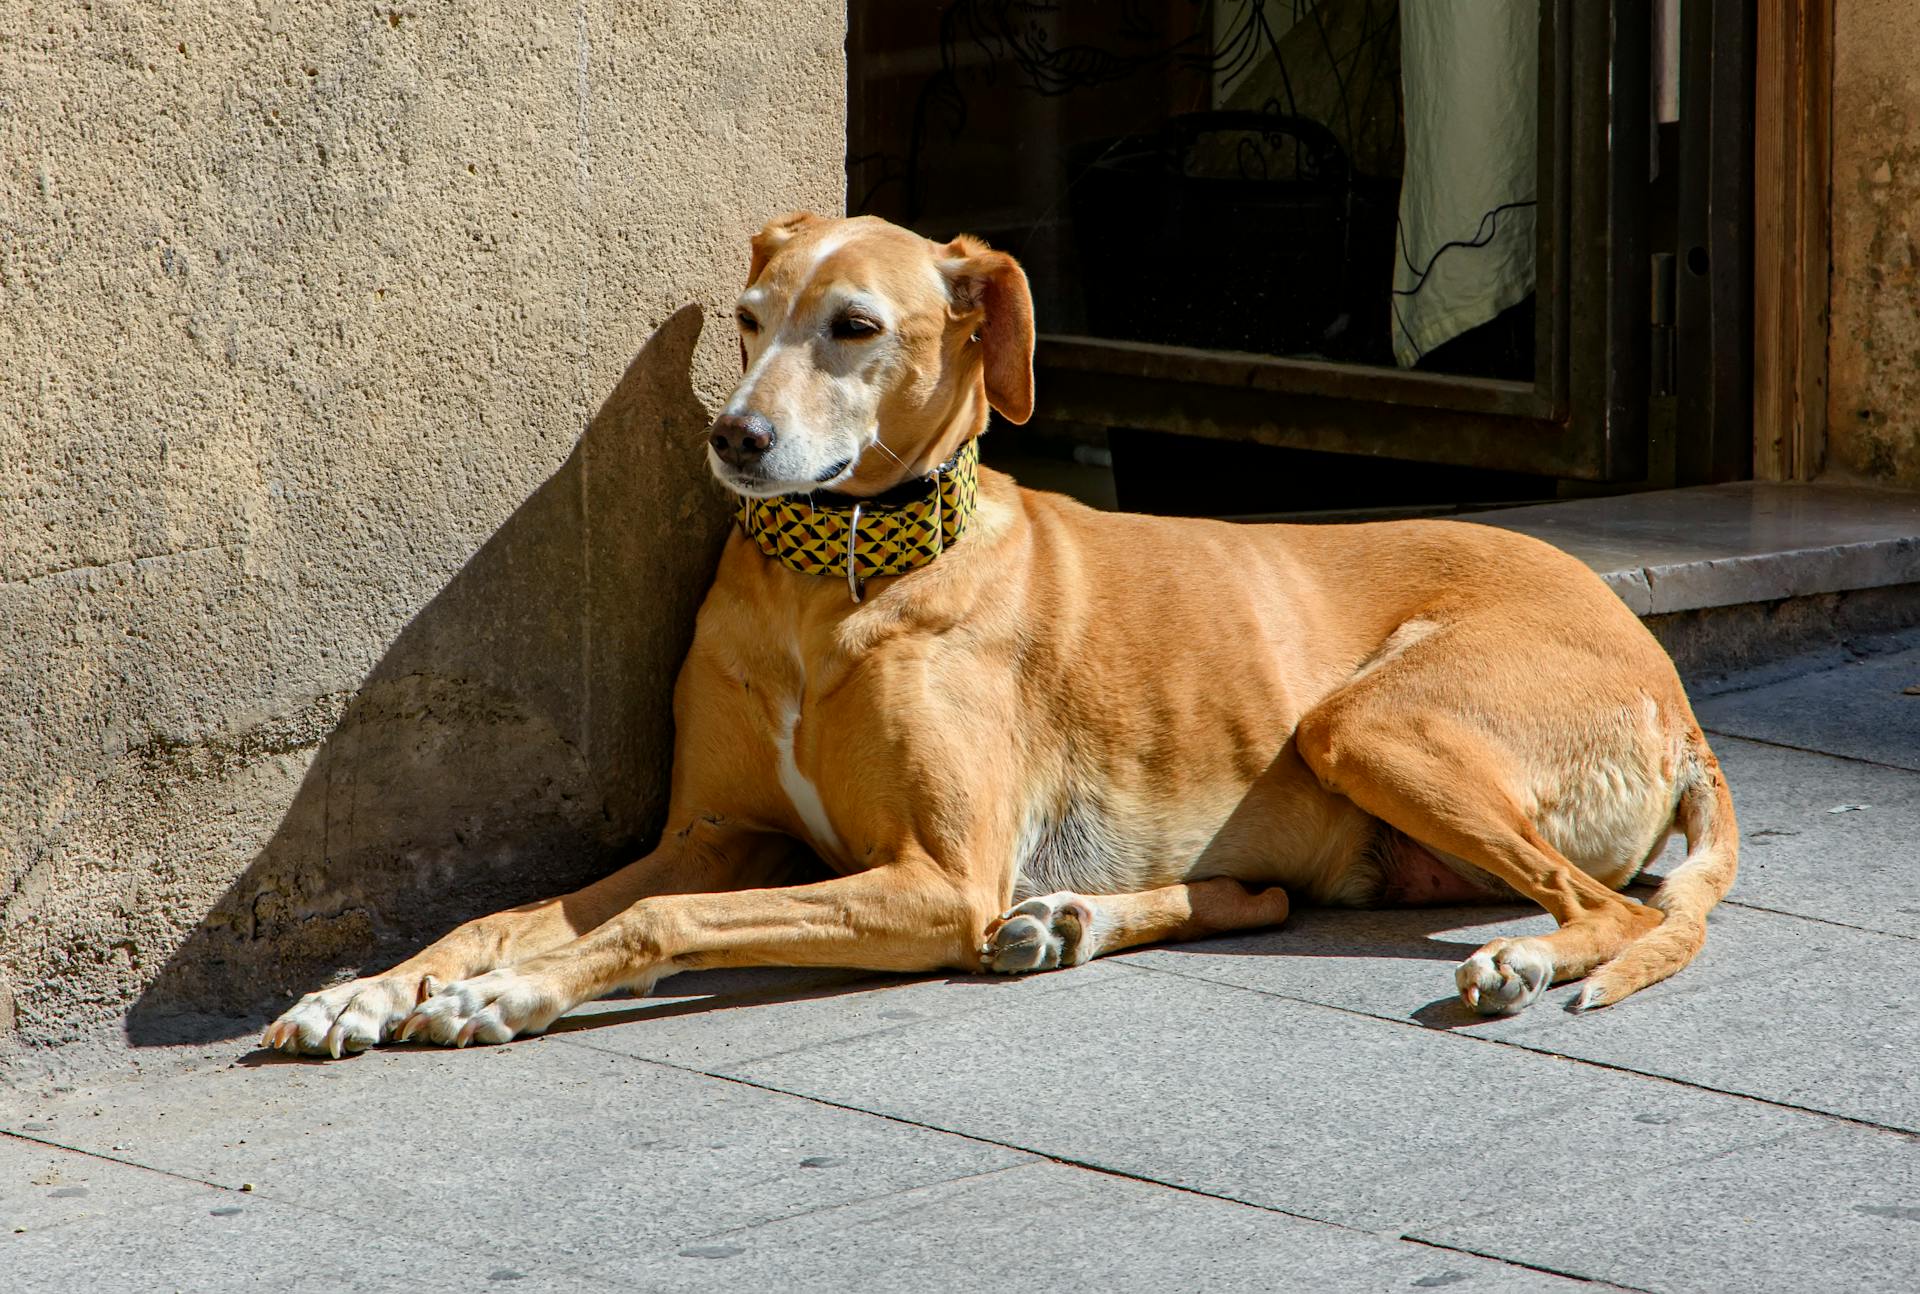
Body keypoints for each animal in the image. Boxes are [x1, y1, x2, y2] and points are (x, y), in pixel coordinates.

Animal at [259, 214, 1743, 1059]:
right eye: (749, 319)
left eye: (855, 326)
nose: (734, 438)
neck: (836, 589)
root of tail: (1671, 687)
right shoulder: (719, 832)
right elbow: (502, 911)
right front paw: (368, 990)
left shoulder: (936, 874)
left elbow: (658, 919)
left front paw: (510, 997)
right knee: (1271, 895)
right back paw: (1071, 918)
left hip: (1365, 720)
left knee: (1610, 905)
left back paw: (1523, 958)